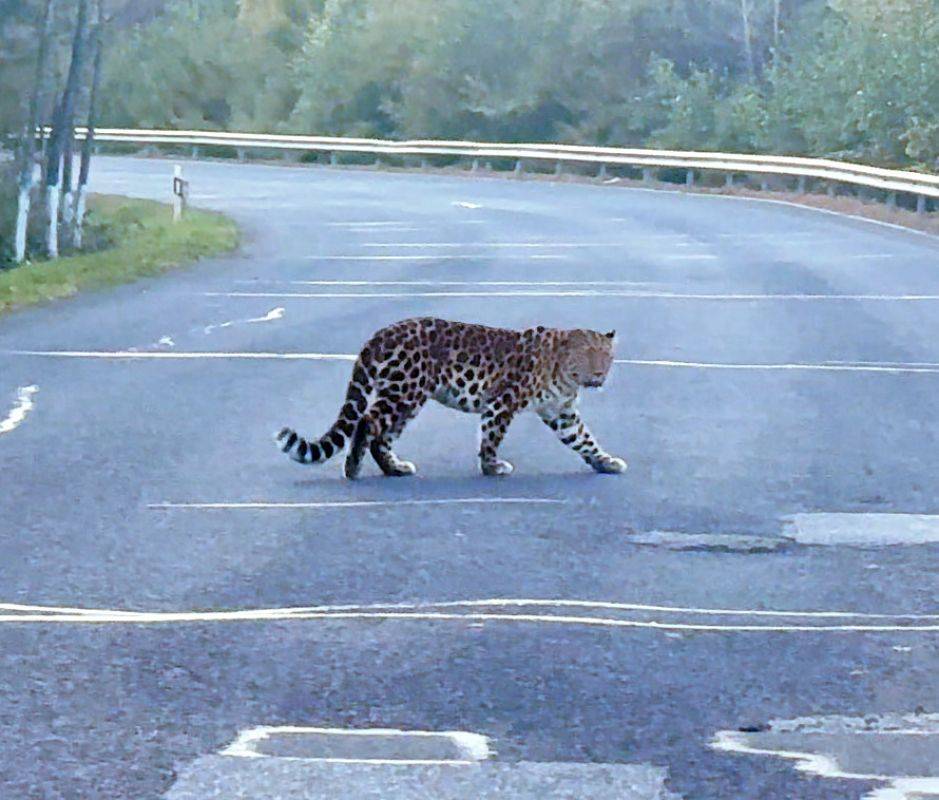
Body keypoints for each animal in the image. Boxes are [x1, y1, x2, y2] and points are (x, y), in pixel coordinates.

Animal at [276, 318, 628, 482]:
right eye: (587, 356)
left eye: (607, 357)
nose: (600, 374)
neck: (562, 372)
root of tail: (380, 334)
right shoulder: (502, 400)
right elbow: (491, 437)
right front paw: (492, 466)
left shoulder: (561, 412)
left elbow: (584, 439)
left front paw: (606, 461)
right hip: (405, 390)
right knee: (368, 421)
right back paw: (353, 467)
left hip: (409, 398)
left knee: (381, 436)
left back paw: (395, 468)